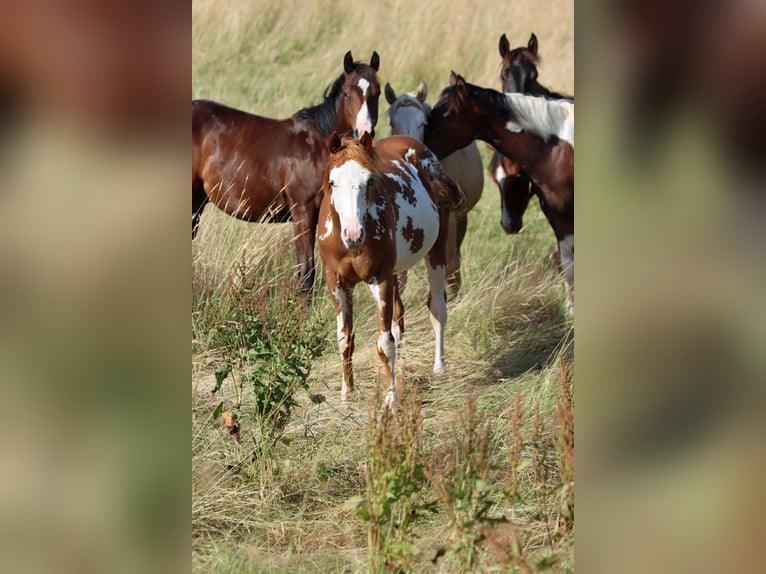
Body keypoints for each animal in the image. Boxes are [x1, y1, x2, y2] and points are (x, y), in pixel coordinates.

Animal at [192, 51, 381, 294]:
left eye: (377, 93)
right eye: (348, 93)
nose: (364, 131)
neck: (319, 145)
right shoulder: (303, 212)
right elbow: (306, 273)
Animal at [318, 131, 465, 409]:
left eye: (369, 181)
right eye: (333, 182)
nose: (353, 234)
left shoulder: (381, 278)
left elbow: (384, 343)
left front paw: (391, 400)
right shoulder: (337, 282)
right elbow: (345, 339)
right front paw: (347, 392)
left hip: (435, 251)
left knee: (437, 308)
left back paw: (439, 366)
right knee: (399, 317)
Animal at [426, 72, 574, 313]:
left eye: (447, 114)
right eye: (496, 179)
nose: (420, 143)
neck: (558, 150)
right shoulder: (559, 218)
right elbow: (568, 264)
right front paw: (570, 311)